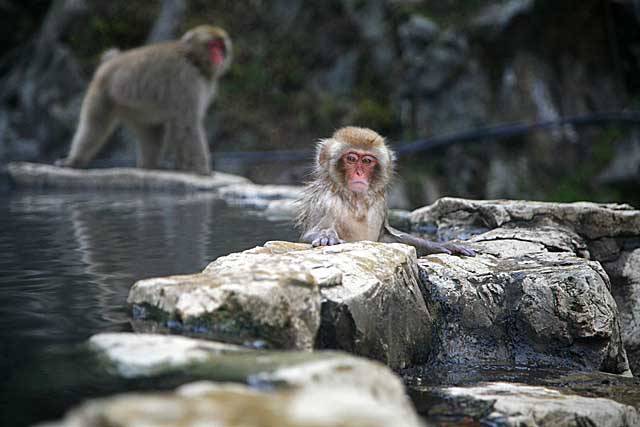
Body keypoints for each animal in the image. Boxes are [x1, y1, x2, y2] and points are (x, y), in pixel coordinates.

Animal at [57, 25, 232, 176]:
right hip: (104, 92)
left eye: (221, 46)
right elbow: (187, 123)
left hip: (138, 110)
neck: (193, 60)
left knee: (151, 130)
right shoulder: (187, 79)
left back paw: (149, 165)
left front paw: (184, 167)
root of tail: (110, 61)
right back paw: (75, 160)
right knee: (95, 125)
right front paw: (202, 169)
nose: (219, 55)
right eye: (212, 45)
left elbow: (181, 124)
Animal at [296, 125, 476, 256]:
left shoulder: (381, 204)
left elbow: (388, 236)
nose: (359, 173)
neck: (355, 199)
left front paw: (439, 245)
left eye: (367, 161)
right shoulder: (324, 200)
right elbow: (309, 235)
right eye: (351, 158)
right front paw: (325, 236)